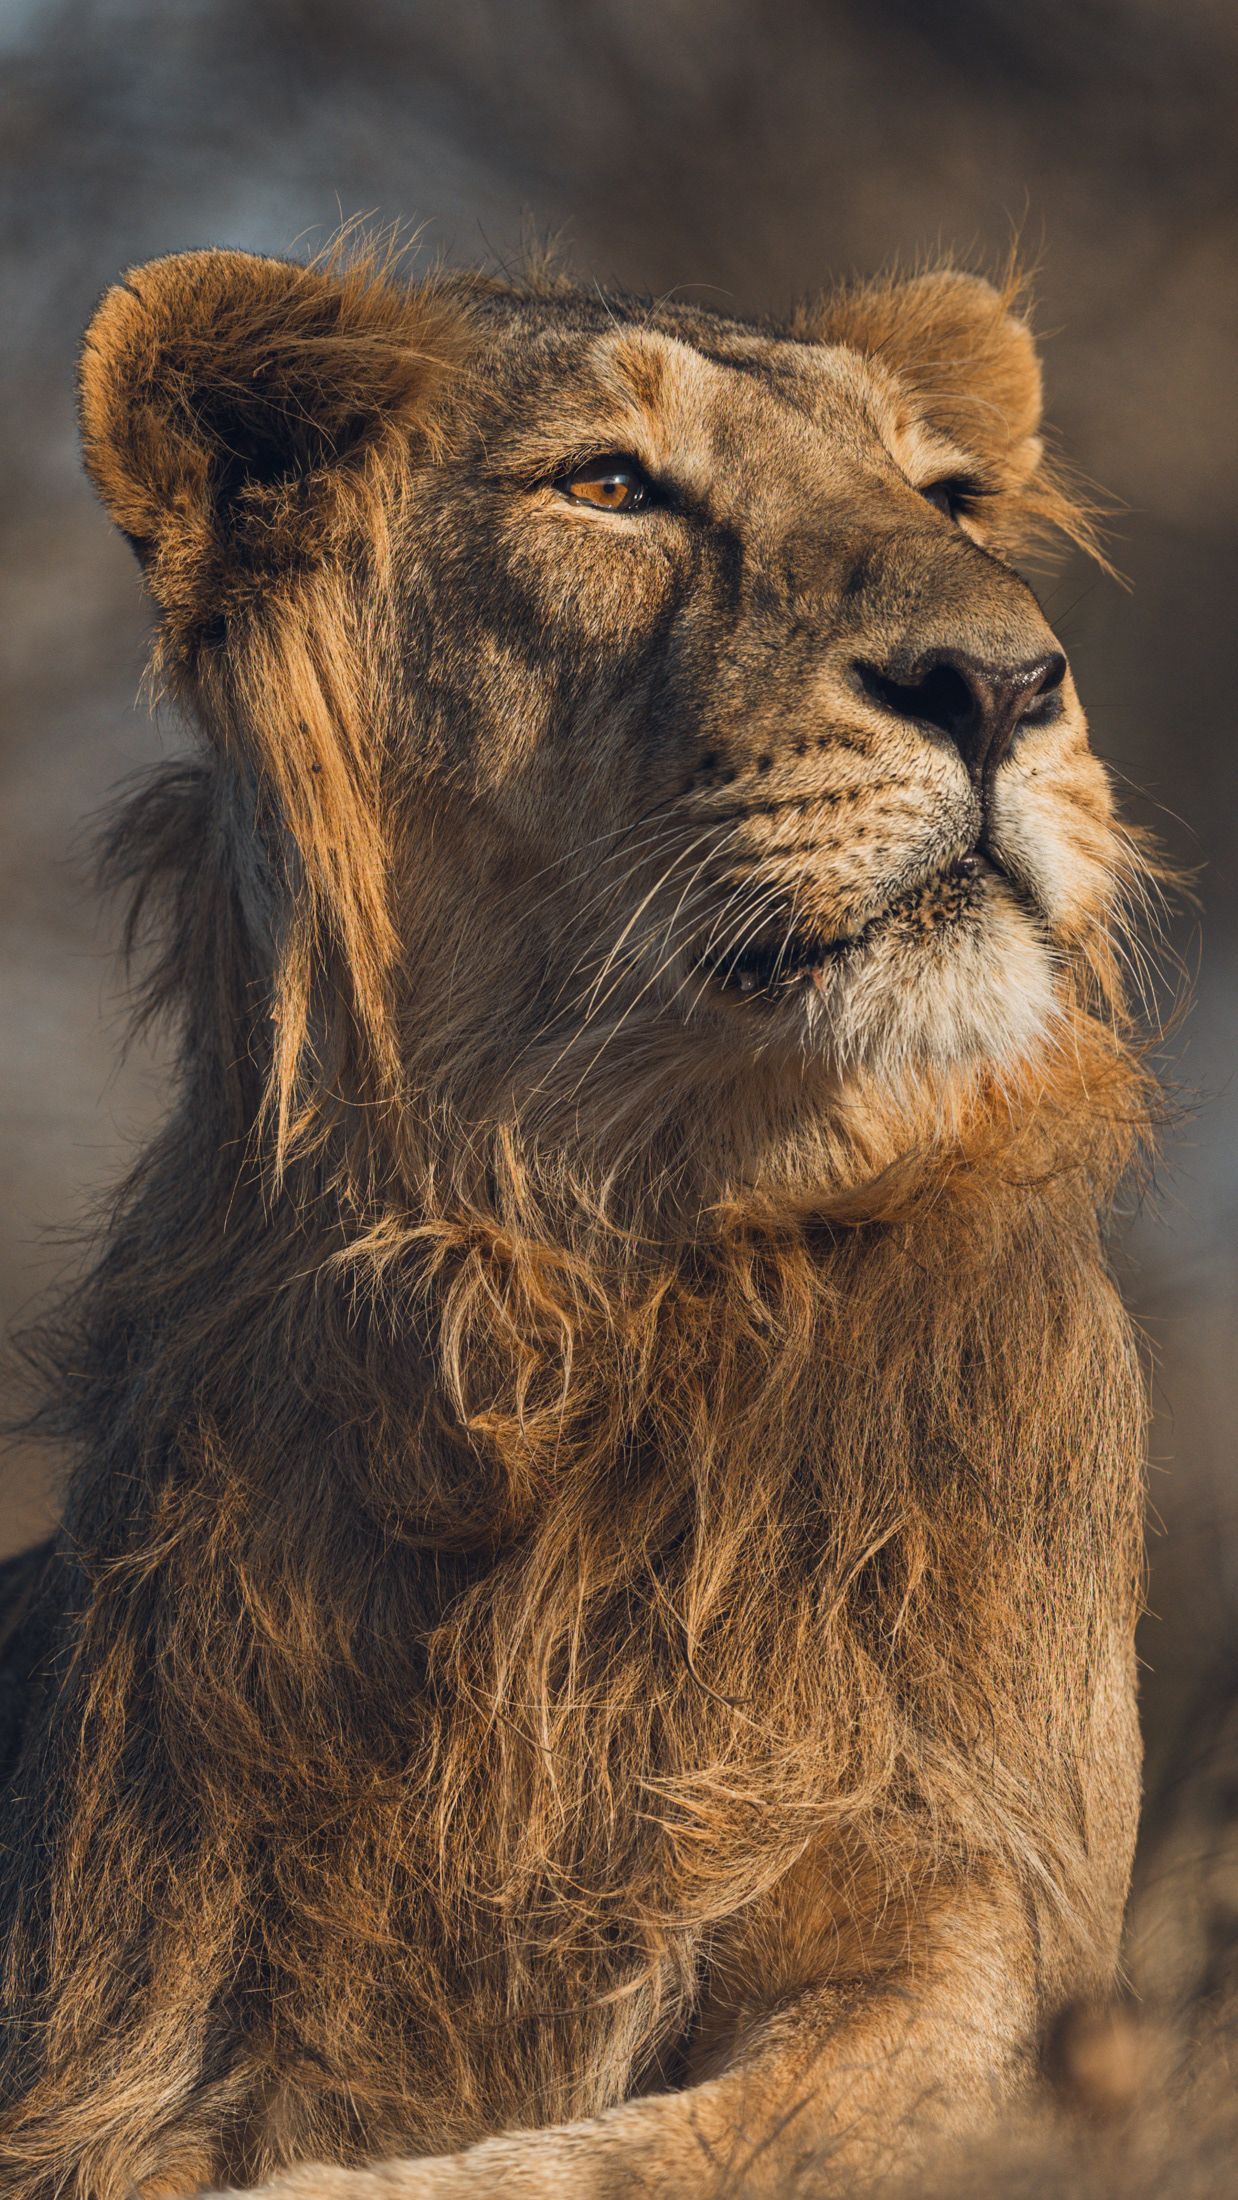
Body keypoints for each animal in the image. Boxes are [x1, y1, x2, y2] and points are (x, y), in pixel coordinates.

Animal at [0, 241, 1159, 2199]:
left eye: (941, 498)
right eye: (608, 488)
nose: (1004, 683)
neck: (597, 1287)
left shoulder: (974, 1901)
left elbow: (701, 2138)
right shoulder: (122, 2025)